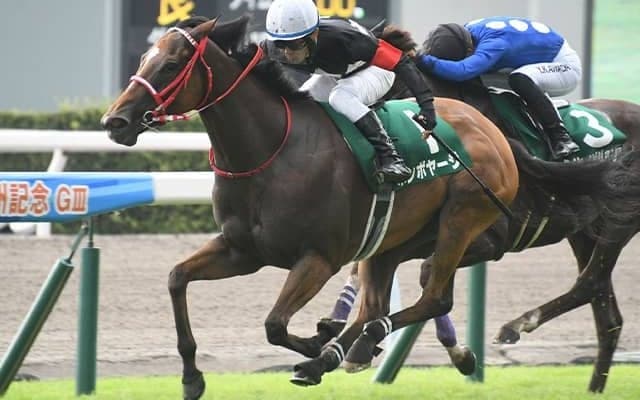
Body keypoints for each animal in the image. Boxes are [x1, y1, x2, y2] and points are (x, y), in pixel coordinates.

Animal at [101, 17, 520, 399]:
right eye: (144, 59)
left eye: (171, 65)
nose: (113, 121)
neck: (272, 152)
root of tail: (490, 129)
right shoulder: (241, 251)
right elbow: (177, 278)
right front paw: (191, 378)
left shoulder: (318, 258)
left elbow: (274, 324)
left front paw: (320, 340)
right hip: (394, 239)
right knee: (377, 307)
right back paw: (340, 354)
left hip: (460, 218)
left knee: (431, 299)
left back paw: (347, 348)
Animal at [302, 25, 640, 392]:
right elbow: (373, 270)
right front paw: (332, 332)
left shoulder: (489, 240)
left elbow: (427, 277)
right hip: (584, 230)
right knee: (607, 315)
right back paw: (594, 388)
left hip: (620, 221)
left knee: (590, 282)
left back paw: (517, 326)